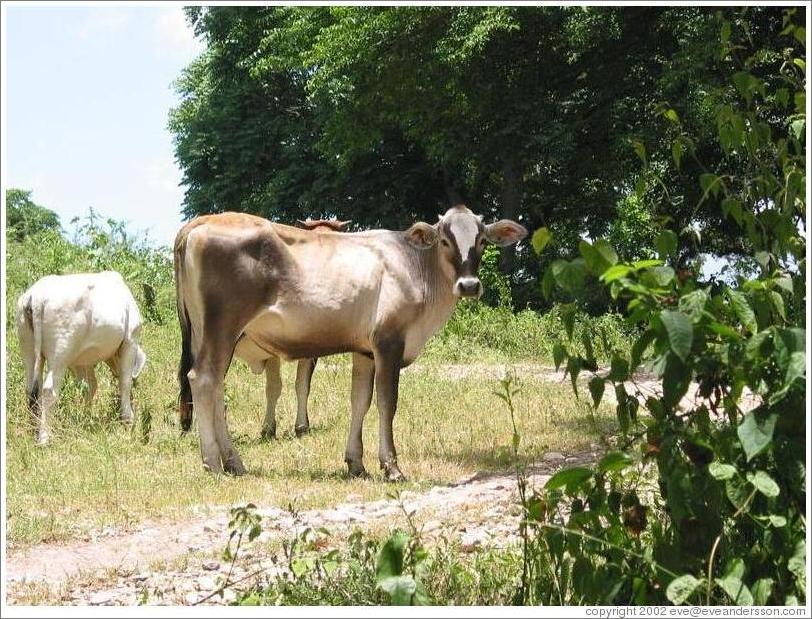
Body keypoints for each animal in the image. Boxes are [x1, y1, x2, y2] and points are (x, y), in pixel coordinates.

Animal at [15, 272, 146, 446]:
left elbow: (90, 386)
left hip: (27, 346)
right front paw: (128, 420)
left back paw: (33, 428)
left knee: (31, 389)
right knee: (49, 390)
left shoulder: (81, 362)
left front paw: (85, 417)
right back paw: (44, 438)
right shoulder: (130, 340)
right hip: (60, 352)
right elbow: (125, 383)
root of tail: (37, 295)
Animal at [174, 206, 524, 482]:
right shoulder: (389, 343)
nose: (469, 285)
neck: (415, 267)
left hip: (212, 335)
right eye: (445, 240)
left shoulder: (364, 350)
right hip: (222, 327)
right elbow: (387, 403)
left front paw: (356, 463)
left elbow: (360, 401)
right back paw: (213, 464)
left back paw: (233, 463)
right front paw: (392, 467)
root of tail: (204, 221)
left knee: (216, 387)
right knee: (202, 380)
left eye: (481, 241)